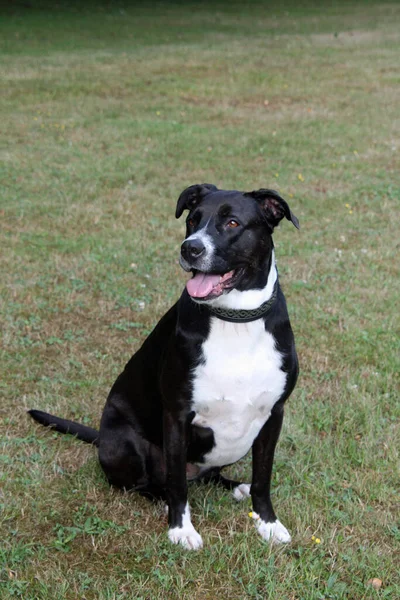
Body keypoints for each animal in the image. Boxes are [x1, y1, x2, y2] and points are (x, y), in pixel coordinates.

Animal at [28, 183, 300, 548]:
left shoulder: (274, 413)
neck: (235, 319)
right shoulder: (177, 414)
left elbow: (263, 476)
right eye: (192, 220)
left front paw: (267, 522)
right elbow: (177, 484)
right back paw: (163, 500)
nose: (191, 248)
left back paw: (235, 487)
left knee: (211, 476)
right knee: (150, 484)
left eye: (232, 223)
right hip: (126, 444)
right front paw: (181, 529)